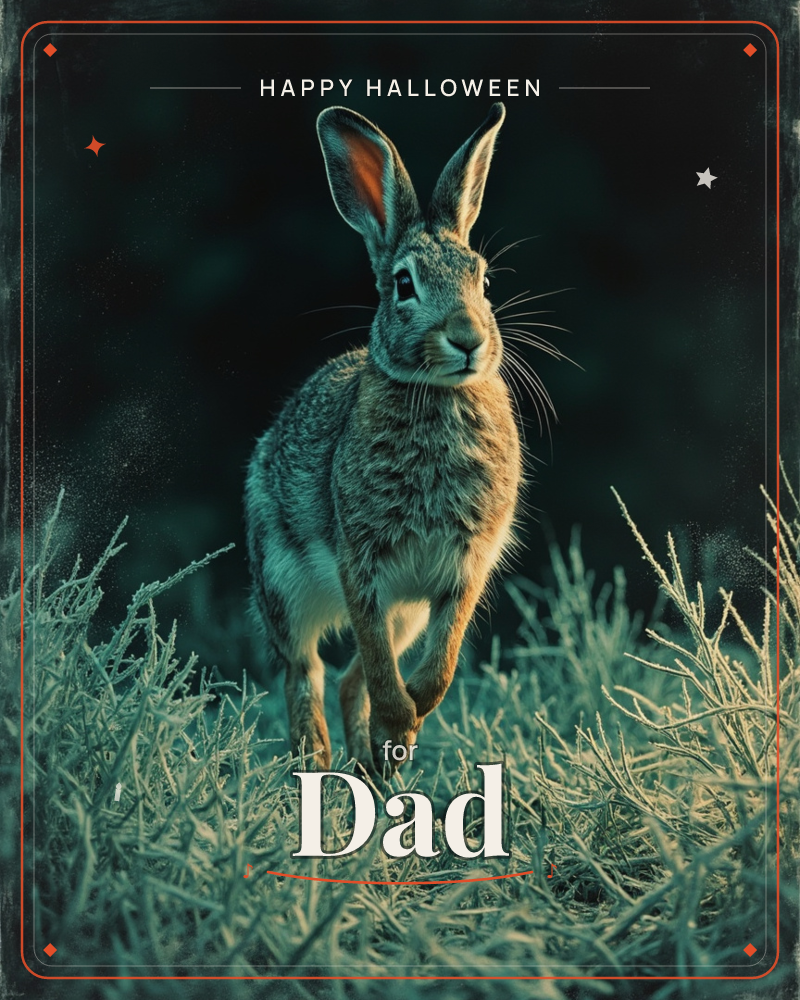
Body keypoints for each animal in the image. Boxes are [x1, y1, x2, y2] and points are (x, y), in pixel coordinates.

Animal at [245, 102, 522, 777]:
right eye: (403, 285)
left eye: (483, 280)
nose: (468, 338)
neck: (437, 395)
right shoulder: (361, 561)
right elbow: (373, 663)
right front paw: (400, 722)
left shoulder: (461, 569)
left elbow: (440, 663)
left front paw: (410, 720)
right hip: (282, 581)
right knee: (306, 671)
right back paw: (319, 762)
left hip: (408, 612)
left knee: (351, 680)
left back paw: (374, 763)